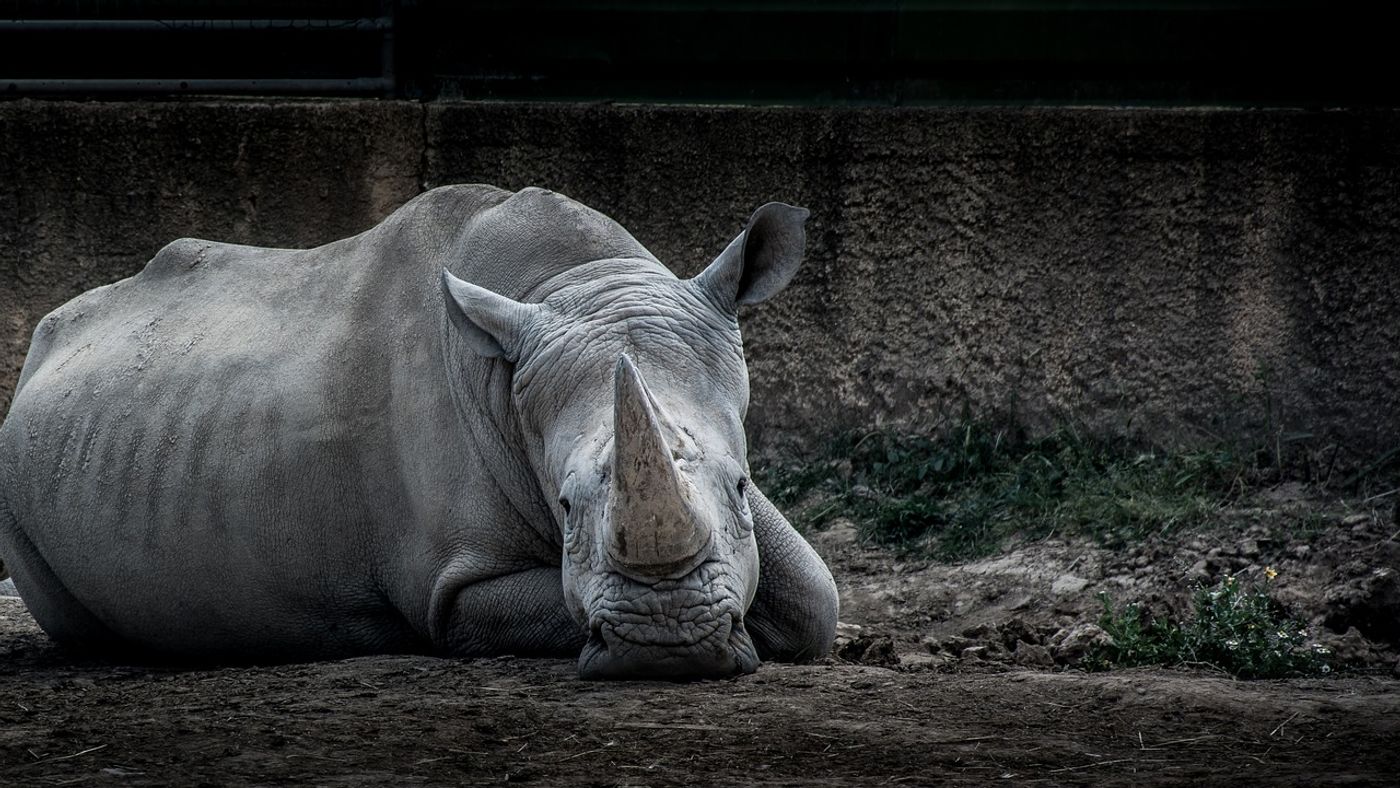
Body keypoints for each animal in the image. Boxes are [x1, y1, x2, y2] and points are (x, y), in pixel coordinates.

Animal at [0, 184, 828, 677]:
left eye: (743, 484)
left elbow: (814, 594)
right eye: (563, 508)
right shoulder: (453, 587)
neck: (582, 282)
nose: (667, 644)